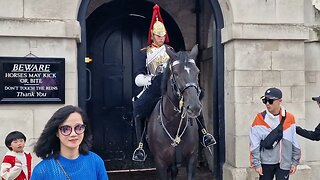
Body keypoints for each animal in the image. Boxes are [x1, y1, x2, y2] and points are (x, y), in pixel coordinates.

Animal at [147, 44, 201, 179]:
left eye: (197, 72)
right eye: (176, 74)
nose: (194, 107)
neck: (174, 125)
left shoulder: (192, 158)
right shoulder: (160, 162)